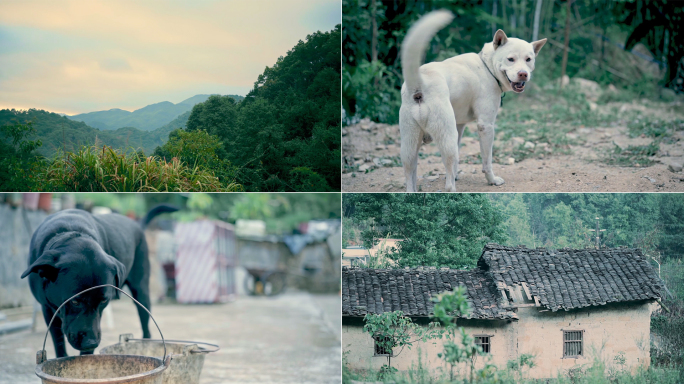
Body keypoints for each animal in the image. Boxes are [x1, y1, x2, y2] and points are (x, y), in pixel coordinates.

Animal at [21, 204, 176, 356]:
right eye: (75, 302)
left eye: (104, 301)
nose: (91, 343)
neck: (70, 232)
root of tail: (136, 224)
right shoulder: (47, 309)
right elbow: (59, 345)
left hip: (141, 292)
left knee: (146, 327)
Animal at [400, 10, 544, 192]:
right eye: (510, 59)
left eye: (528, 59)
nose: (523, 74)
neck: (487, 66)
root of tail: (419, 83)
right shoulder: (486, 126)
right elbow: (487, 161)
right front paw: (492, 180)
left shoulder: (459, 126)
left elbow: (458, 159)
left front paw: (457, 175)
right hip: (446, 139)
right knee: (448, 182)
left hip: (410, 144)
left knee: (409, 175)